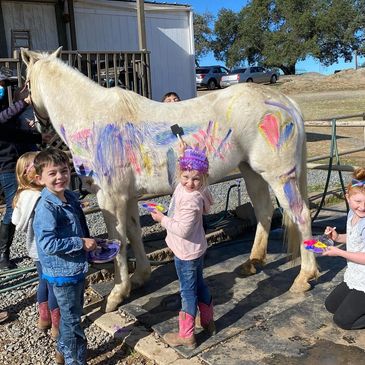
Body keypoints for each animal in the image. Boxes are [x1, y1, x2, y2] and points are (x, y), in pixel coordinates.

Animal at [21, 47, 316, 310]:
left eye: (25, 83)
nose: (38, 129)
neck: (93, 116)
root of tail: (285, 102)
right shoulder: (128, 197)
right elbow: (134, 233)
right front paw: (140, 278)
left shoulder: (111, 198)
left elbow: (119, 241)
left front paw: (117, 294)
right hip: (251, 171)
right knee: (264, 211)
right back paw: (253, 263)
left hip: (279, 176)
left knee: (300, 215)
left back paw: (304, 277)